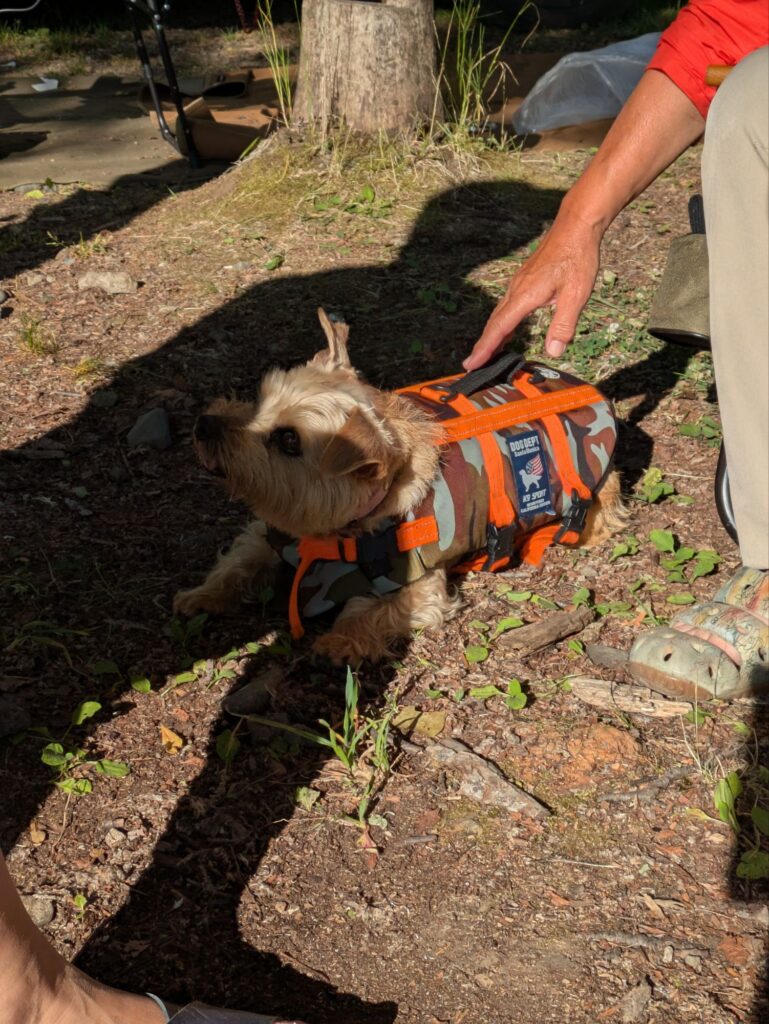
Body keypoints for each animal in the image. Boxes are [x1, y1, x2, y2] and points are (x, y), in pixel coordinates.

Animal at [174, 309, 624, 664]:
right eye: (260, 399)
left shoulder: (421, 589)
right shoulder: (267, 535)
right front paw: (201, 594)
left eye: (288, 440)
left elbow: (367, 609)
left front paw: (339, 641)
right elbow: (238, 562)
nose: (204, 424)